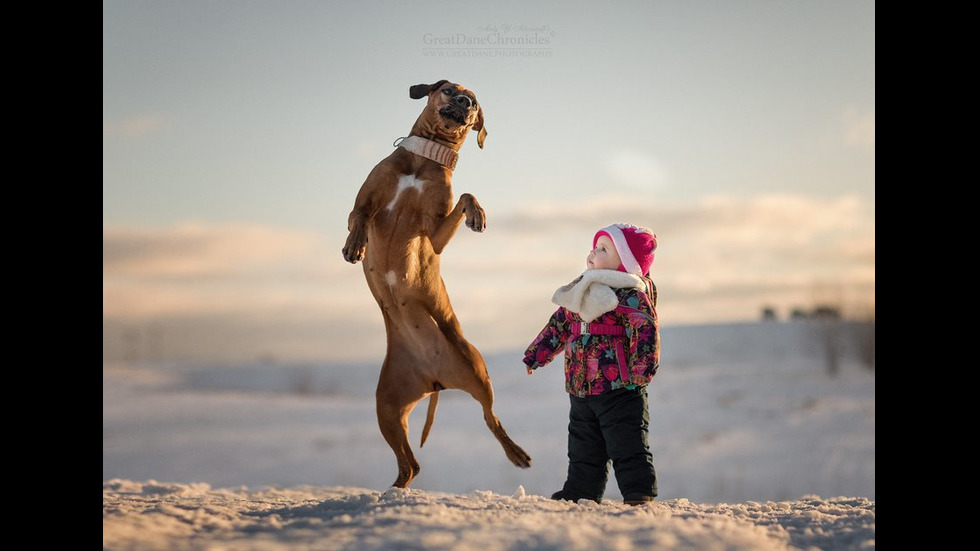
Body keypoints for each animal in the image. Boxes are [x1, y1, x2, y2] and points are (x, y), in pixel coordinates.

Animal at [342, 81, 532, 488]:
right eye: (449, 89)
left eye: (474, 103)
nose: (464, 102)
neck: (424, 160)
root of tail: (435, 381)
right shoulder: (360, 204)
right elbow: (361, 215)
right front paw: (355, 246)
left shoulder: (434, 233)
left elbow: (466, 196)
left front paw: (478, 214)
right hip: (387, 406)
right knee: (410, 464)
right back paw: (393, 491)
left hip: (476, 370)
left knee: (491, 418)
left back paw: (516, 453)